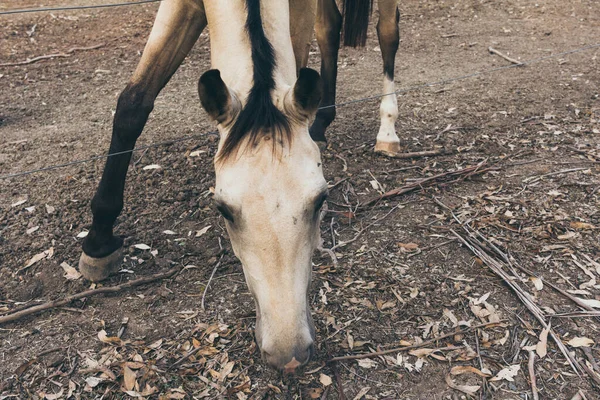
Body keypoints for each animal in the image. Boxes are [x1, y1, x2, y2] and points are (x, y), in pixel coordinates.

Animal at [77, 0, 400, 372]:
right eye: (223, 210)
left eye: (321, 200)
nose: (289, 353)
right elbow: (133, 104)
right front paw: (99, 240)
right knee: (331, 25)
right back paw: (321, 121)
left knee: (388, 31)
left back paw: (388, 131)